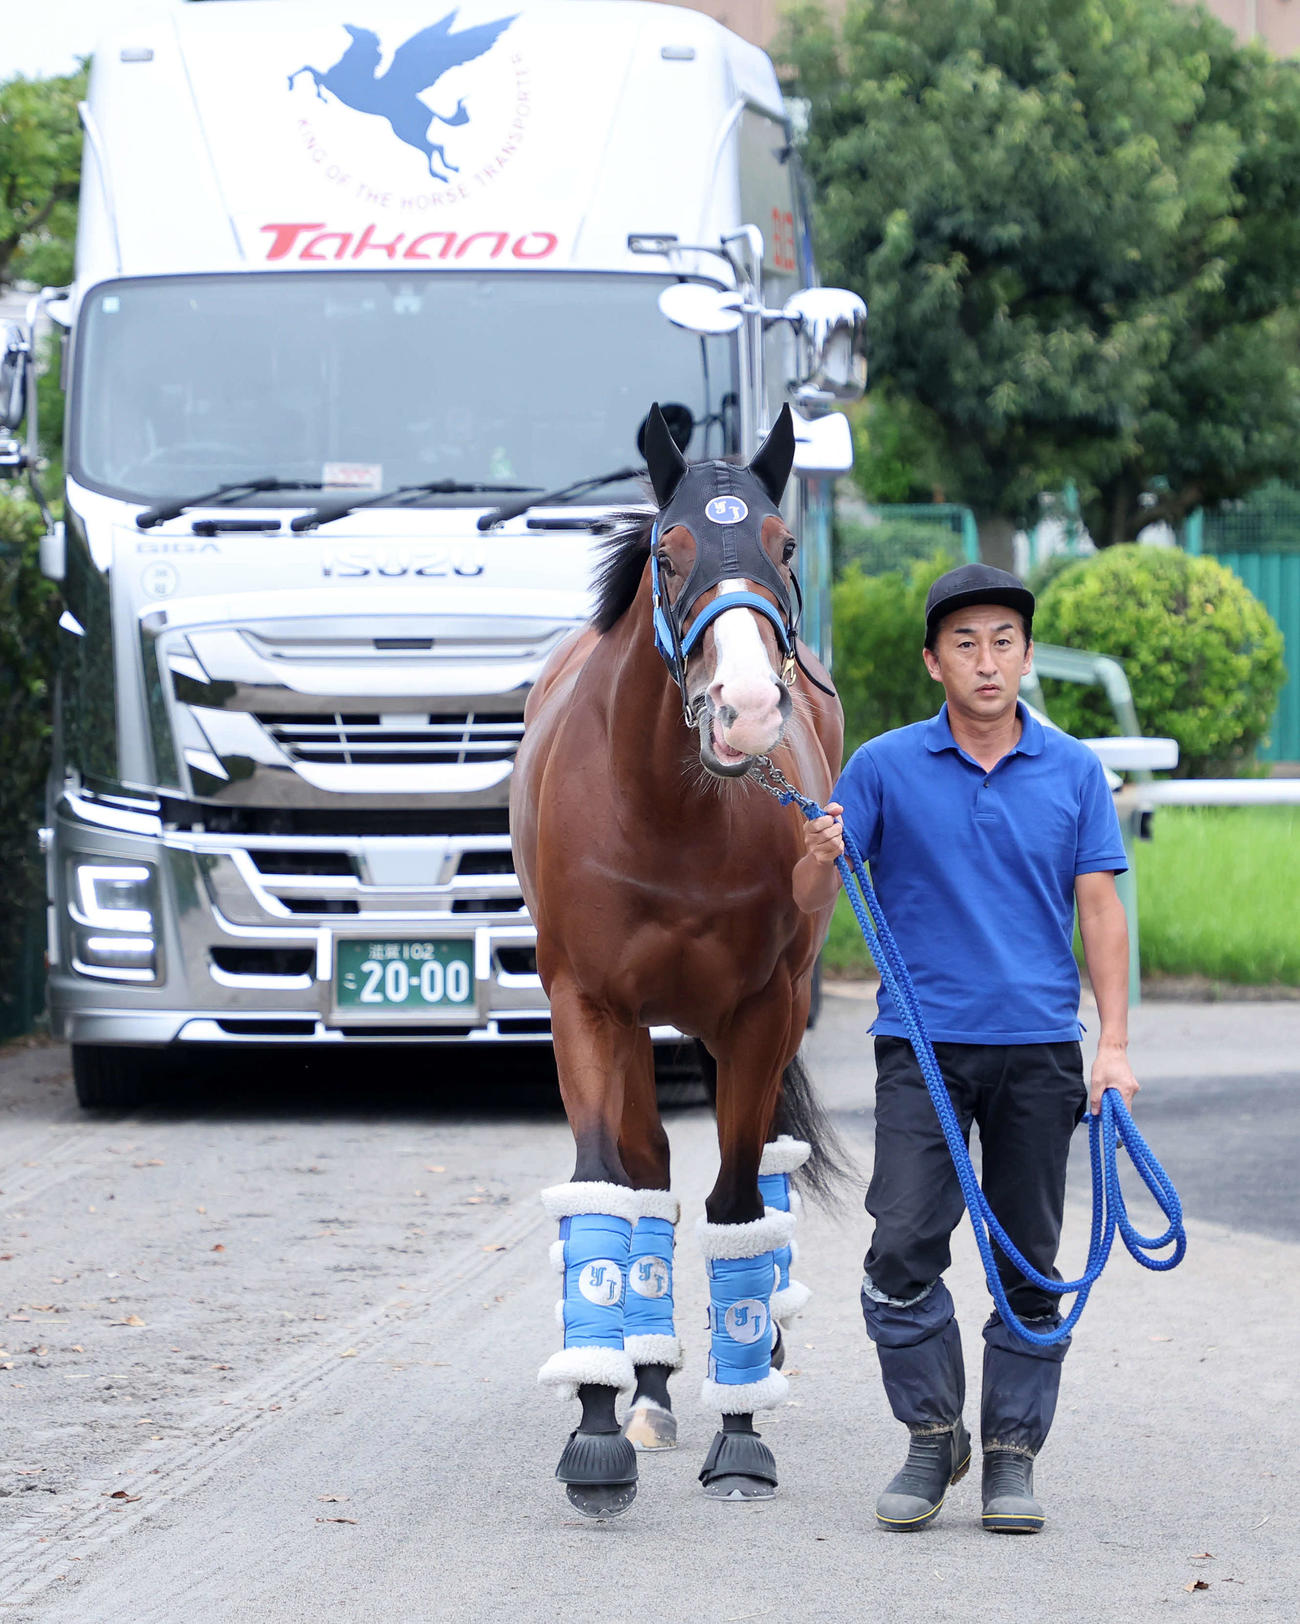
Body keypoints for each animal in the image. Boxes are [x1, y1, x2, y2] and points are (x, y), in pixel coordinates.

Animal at [510, 403, 846, 1515]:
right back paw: (646, 1384)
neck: (669, 809)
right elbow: (604, 1188)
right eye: (670, 549)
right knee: (648, 1170)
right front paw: (596, 1429)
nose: (747, 705)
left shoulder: (761, 1011)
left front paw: (741, 1435)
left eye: (783, 545)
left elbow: (737, 1203)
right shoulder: (588, 1004)